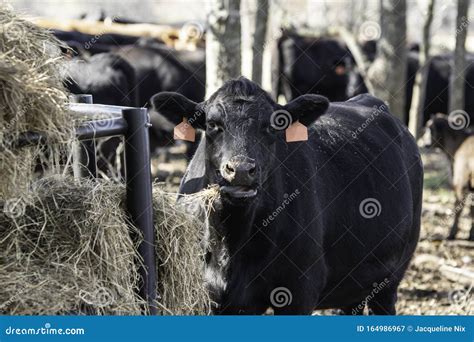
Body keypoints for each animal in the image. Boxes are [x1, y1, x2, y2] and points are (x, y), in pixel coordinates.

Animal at [154, 78, 424, 316]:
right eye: (212, 124)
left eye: (272, 125)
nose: (241, 169)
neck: (230, 244)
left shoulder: (299, 290)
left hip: (391, 277)